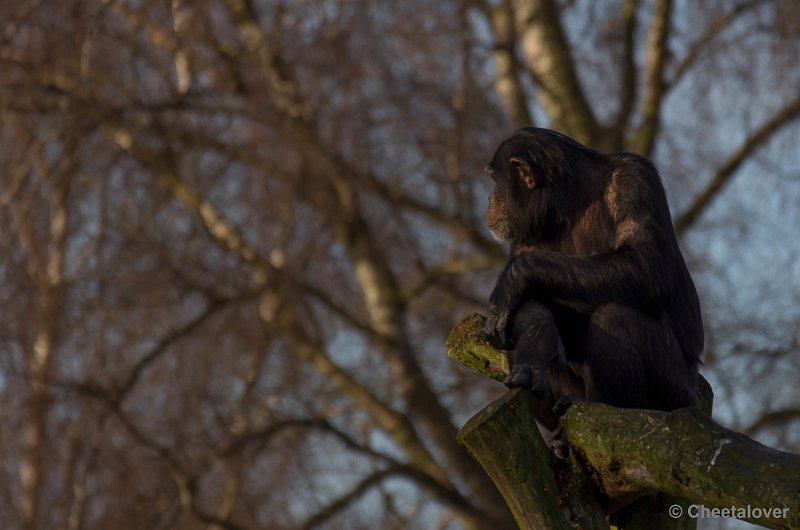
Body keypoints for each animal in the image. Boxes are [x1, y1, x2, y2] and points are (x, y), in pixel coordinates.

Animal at [482, 127, 700, 428]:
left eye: (494, 180)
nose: (489, 197)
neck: (568, 203)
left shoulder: (634, 179)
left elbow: (645, 263)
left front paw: (511, 283)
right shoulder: (527, 232)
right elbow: (525, 305)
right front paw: (536, 336)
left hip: (678, 399)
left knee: (616, 317)